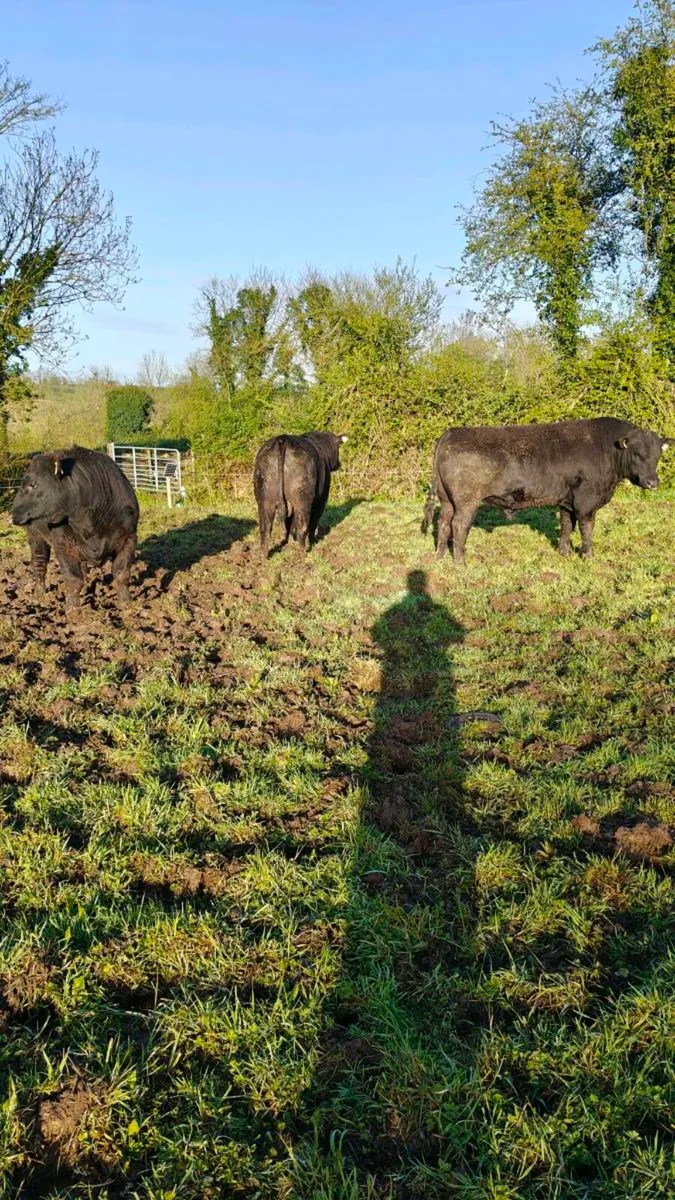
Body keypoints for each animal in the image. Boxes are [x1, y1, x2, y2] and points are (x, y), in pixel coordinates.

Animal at [11, 447, 140, 608]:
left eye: (33, 484)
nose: (14, 513)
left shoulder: (129, 537)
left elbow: (121, 574)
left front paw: (127, 604)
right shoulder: (63, 543)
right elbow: (73, 579)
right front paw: (73, 610)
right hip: (36, 537)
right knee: (39, 563)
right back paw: (39, 594)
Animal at [422, 417, 674, 564]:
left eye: (657, 456)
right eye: (637, 454)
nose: (653, 482)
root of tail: (452, 432)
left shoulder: (567, 500)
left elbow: (566, 525)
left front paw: (565, 552)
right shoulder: (586, 502)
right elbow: (586, 528)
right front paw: (588, 555)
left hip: (447, 500)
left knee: (443, 523)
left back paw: (440, 557)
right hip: (466, 501)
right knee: (458, 525)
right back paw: (460, 562)